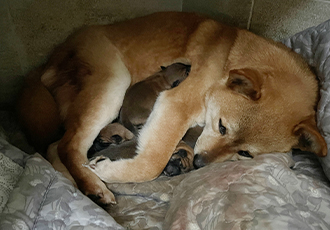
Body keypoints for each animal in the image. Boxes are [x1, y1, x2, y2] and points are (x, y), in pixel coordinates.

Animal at [17, 11, 328, 205]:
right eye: (222, 126)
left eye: (245, 154)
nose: (199, 164)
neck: (231, 61)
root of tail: (53, 56)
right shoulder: (175, 104)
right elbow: (152, 162)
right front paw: (109, 171)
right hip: (113, 82)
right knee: (68, 146)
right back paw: (93, 185)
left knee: (56, 146)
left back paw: (77, 182)